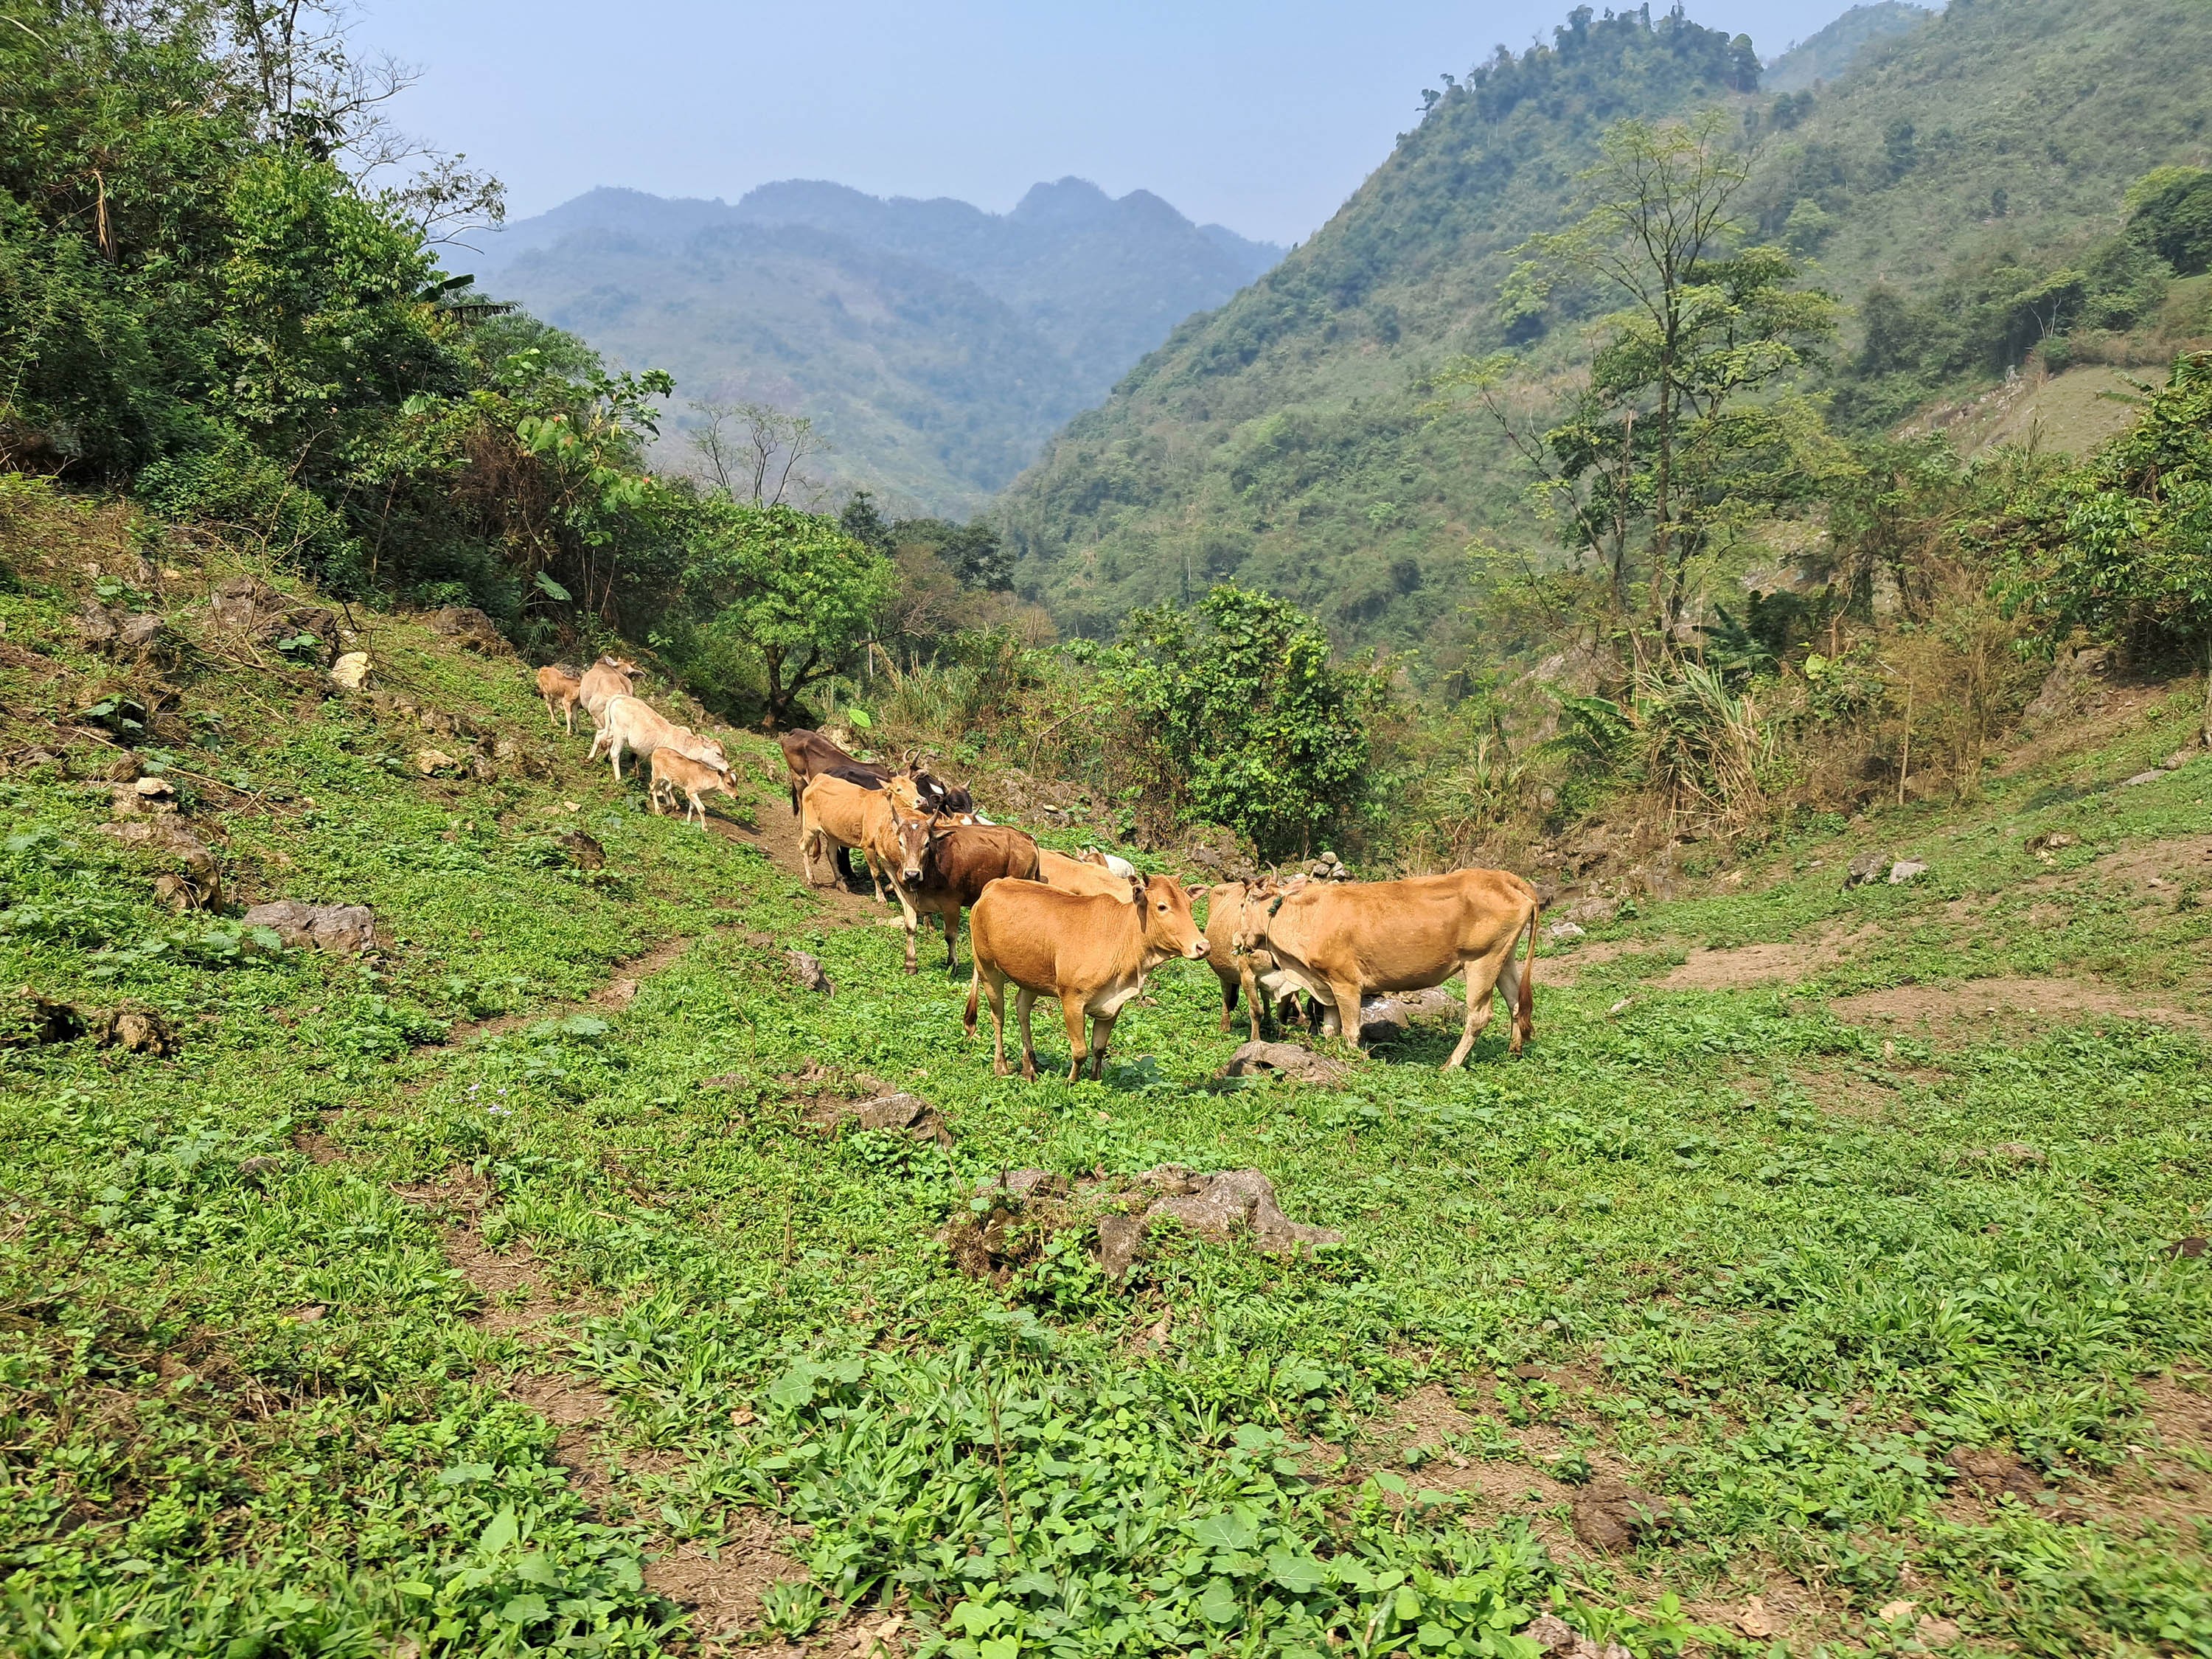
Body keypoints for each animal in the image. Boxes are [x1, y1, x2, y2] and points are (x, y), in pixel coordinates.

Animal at [969, 876, 1212, 1084]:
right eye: (1162, 907)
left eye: (1189, 906)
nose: (1203, 946)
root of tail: (995, 884)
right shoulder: (1072, 1000)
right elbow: (1080, 1051)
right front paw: (1071, 1082)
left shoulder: (1113, 1005)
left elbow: (1098, 1048)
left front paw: (1096, 1080)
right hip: (987, 968)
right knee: (998, 1016)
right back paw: (1001, 1066)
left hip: (1030, 976)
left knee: (1022, 1009)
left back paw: (1030, 1066)